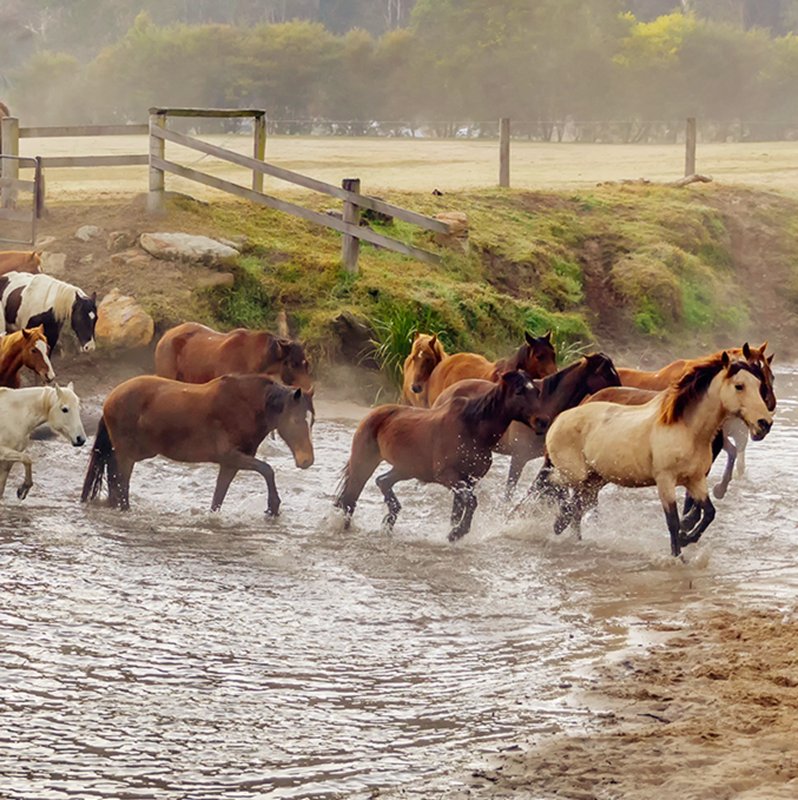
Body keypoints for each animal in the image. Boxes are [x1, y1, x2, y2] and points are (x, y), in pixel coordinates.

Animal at [81, 374, 315, 514]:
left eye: (311, 421)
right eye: (295, 420)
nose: (307, 460)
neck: (245, 407)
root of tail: (110, 398)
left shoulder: (231, 464)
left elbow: (218, 497)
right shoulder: (231, 456)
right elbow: (267, 470)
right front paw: (273, 507)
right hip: (127, 456)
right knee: (121, 485)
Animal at [335, 370, 548, 541]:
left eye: (537, 392)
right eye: (519, 391)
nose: (543, 421)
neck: (472, 430)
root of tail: (373, 414)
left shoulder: (470, 480)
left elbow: (458, 510)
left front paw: (453, 532)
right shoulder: (448, 476)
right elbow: (472, 502)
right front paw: (457, 533)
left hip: (406, 469)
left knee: (382, 481)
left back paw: (389, 522)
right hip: (364, 462)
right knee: (350, 499)